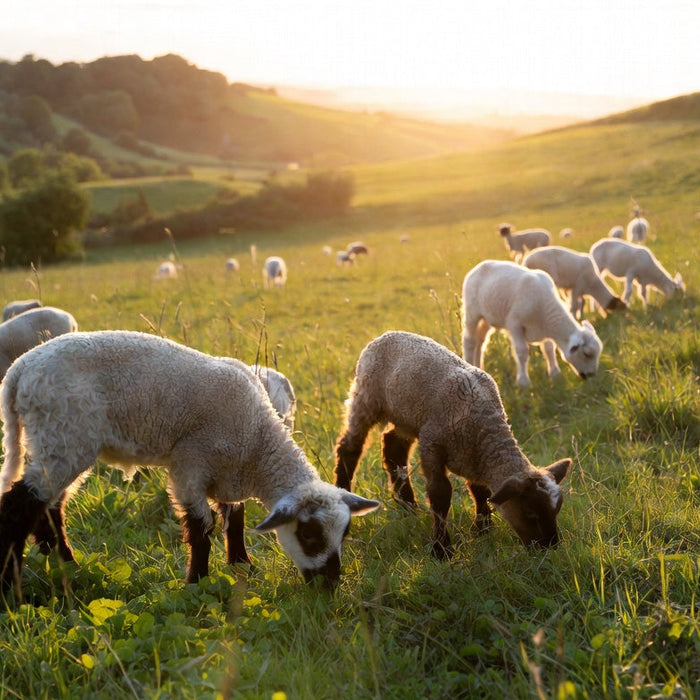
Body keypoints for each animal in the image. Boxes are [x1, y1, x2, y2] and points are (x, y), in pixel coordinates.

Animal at [0, 331, 379, 595]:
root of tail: (20, 370)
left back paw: (63, 561)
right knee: (20, 504)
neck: (258, 442)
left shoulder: (227, 472)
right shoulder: (189, 465)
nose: (329, 585)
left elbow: (235, 519)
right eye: (309, 535)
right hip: (65, 434)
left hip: (56, 440)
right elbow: (201, 529)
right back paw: (11, 582)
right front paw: (197, 582)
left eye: (345, 533)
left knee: (50, 505)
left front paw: (242, 564)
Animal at [334, 331, 571, 556]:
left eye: (557, 510)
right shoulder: (432, 445)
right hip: (366, 398)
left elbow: (480, 491)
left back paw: (408, 506)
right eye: (530, 513)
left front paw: (483, 529)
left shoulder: (473, 455)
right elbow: (440, 495)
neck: (484, 424)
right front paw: (441, 549)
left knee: (393, 447)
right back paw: (345, 493)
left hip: (407, 418)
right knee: (350, 447)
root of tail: (386, 334)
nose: (550, 547)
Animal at [461, 260, 603, 388]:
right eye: (586, 354)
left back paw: (478, 367)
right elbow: (522, 352)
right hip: (472, 312)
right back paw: (468, 362)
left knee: (480, 342)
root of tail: (478, 267)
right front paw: (523, 382)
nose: (591, 377)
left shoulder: (544, 329)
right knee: (469, 341)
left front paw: (555, 374)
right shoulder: (514, 324)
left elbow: (549, 349)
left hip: (487, 318)